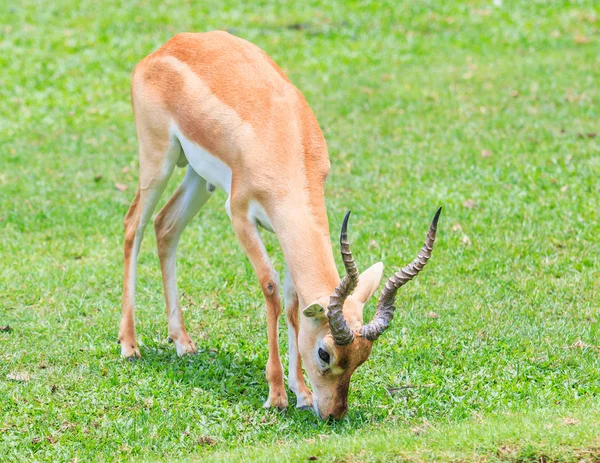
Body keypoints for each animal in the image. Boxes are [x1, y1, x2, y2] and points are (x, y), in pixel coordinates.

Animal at [119, 30, 440, 422]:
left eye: (362, 358)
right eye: (325, 353)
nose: (333, 413)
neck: (282, 140)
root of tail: (166, 47)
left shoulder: (285, 232)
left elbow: (292, 303)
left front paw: (300, 392)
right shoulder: (239, 214)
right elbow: (270, 288)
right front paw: (276, 395)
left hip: (197, 175)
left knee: (165, 226)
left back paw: (182, 342)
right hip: (158, 159)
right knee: (133, 225)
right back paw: (129, 345)